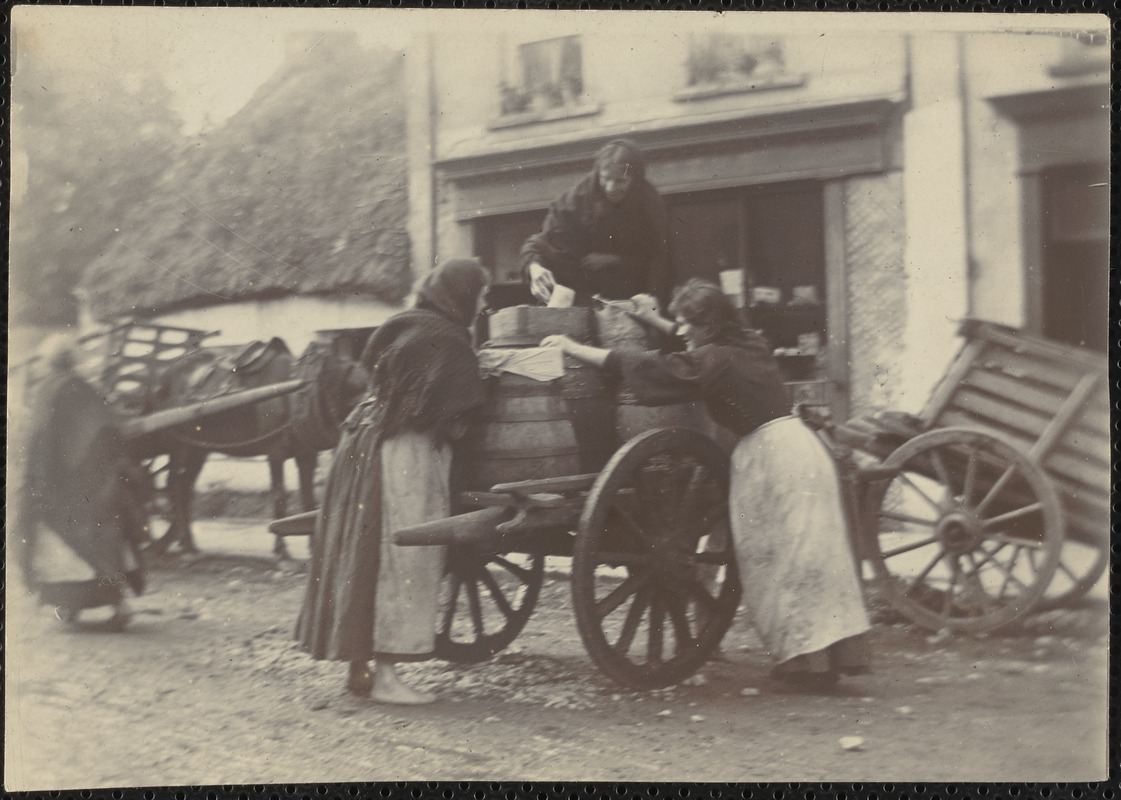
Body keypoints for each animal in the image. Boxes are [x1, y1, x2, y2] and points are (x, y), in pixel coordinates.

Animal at [145, 333, 367, 557]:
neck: (296, 393)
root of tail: (163, 379)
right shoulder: (275, 452)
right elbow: (279, 496)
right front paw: (281, 550)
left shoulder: (306, 455)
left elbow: (309, 500)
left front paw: (313, 547)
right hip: (181, 447)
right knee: (177, 488)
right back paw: (181, 545)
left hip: (198, 450)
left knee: (185, 489)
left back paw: (187, 544)